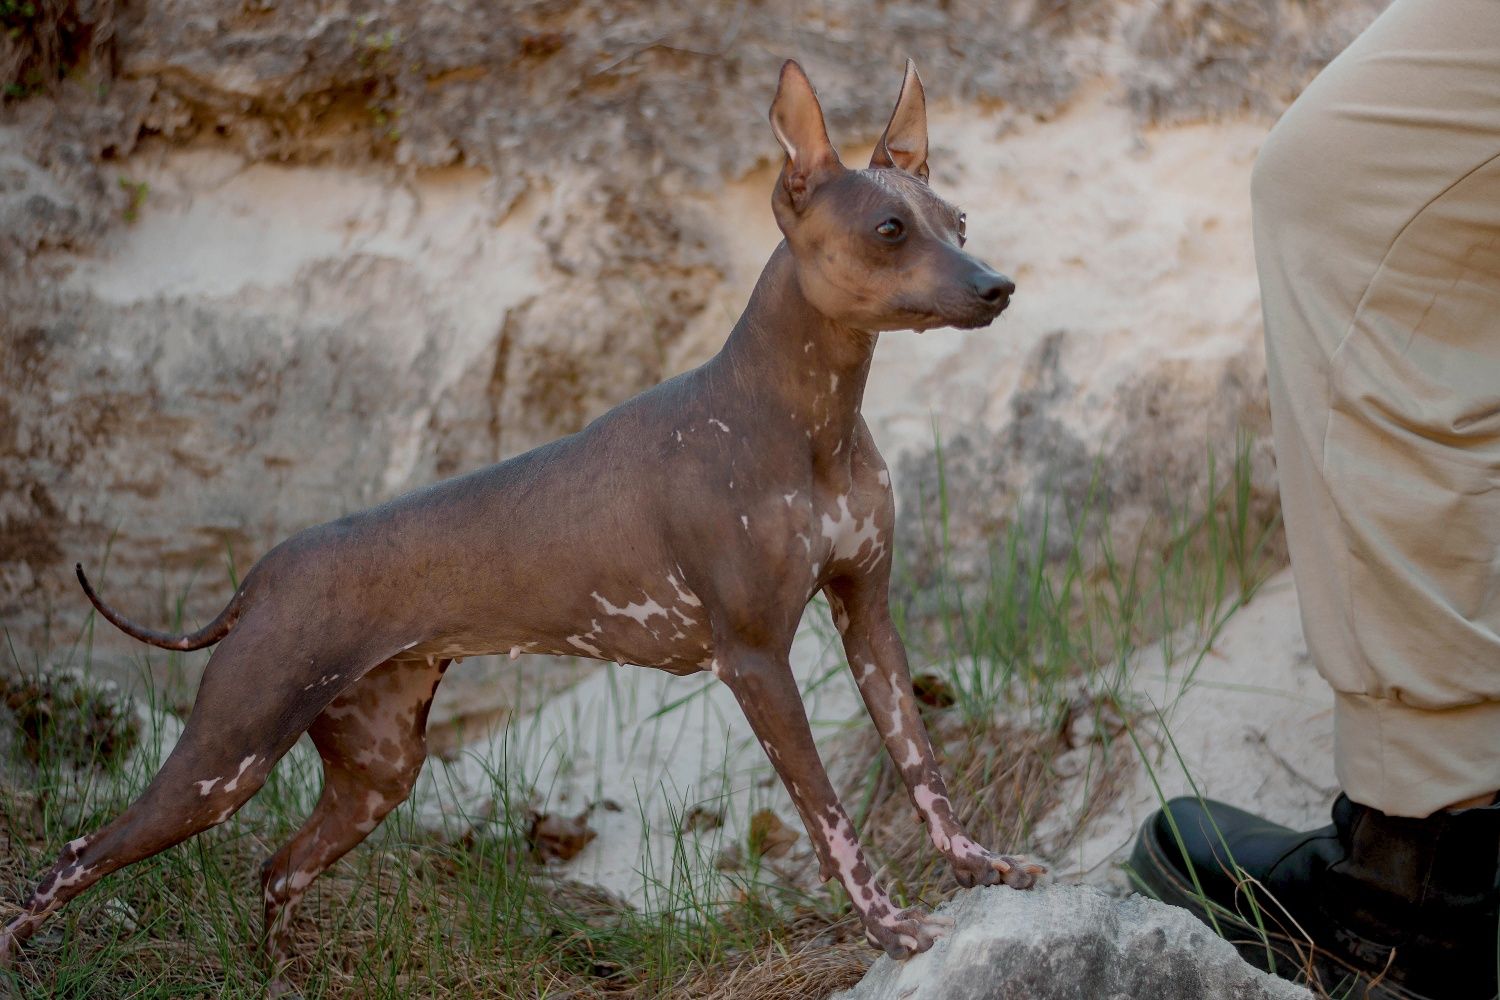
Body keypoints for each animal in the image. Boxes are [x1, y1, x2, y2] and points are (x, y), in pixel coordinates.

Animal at [2, 60, 1044, 983]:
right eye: (888, 229)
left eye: (958, 221)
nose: (997, 284)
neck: (801, 421)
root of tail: (259, 577)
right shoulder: (755, 661)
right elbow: (829, 814)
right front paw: (889, 927)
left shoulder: (867, 614)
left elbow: (920, 761)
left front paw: (976, 866)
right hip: (226, 757)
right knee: (75, 858)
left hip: (378, 771)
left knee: (276, 869)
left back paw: (283, 979)